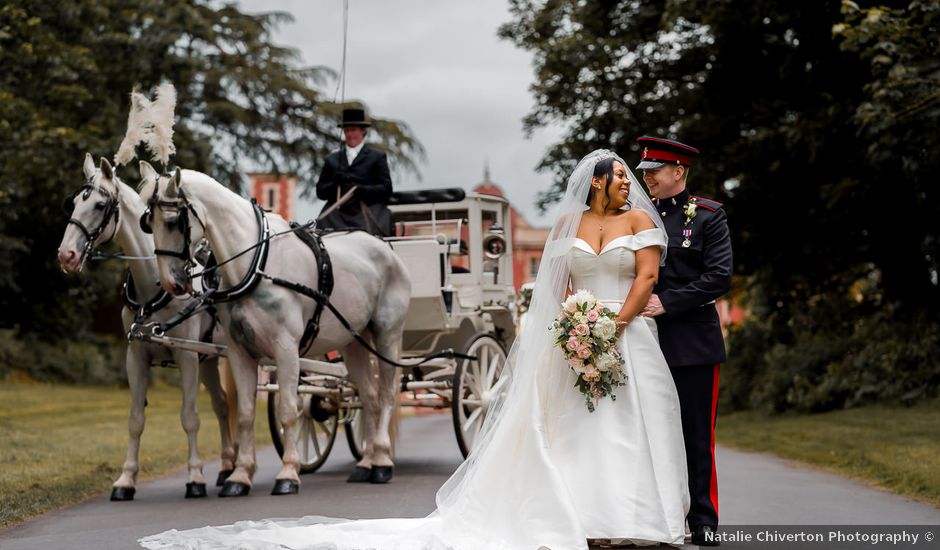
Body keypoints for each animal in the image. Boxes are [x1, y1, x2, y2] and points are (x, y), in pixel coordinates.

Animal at [56, 154, 235, 500]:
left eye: (99, 205)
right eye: (74, 202)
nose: (66, 254)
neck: (154, 286)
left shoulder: (186, 357)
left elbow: (189, 417)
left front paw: (195, 477)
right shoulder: (136, 355)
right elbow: (135, 419)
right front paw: (126, 480)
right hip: (210, 359)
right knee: (222, 406)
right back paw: (227, 467)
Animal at [138, 163, 410, 496]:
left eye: (173, 221)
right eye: (147, 222)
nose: (171, 284)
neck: (256, 264)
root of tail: (385, 247)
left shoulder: (286, 349)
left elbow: (289, 410)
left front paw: (289, 473)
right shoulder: (240, 352)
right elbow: (244, 414)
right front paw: (240, 476)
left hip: (387, 335)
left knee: (385, 396)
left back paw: (382, 462)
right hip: (354, 342)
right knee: (369, 398)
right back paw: (366, 463)